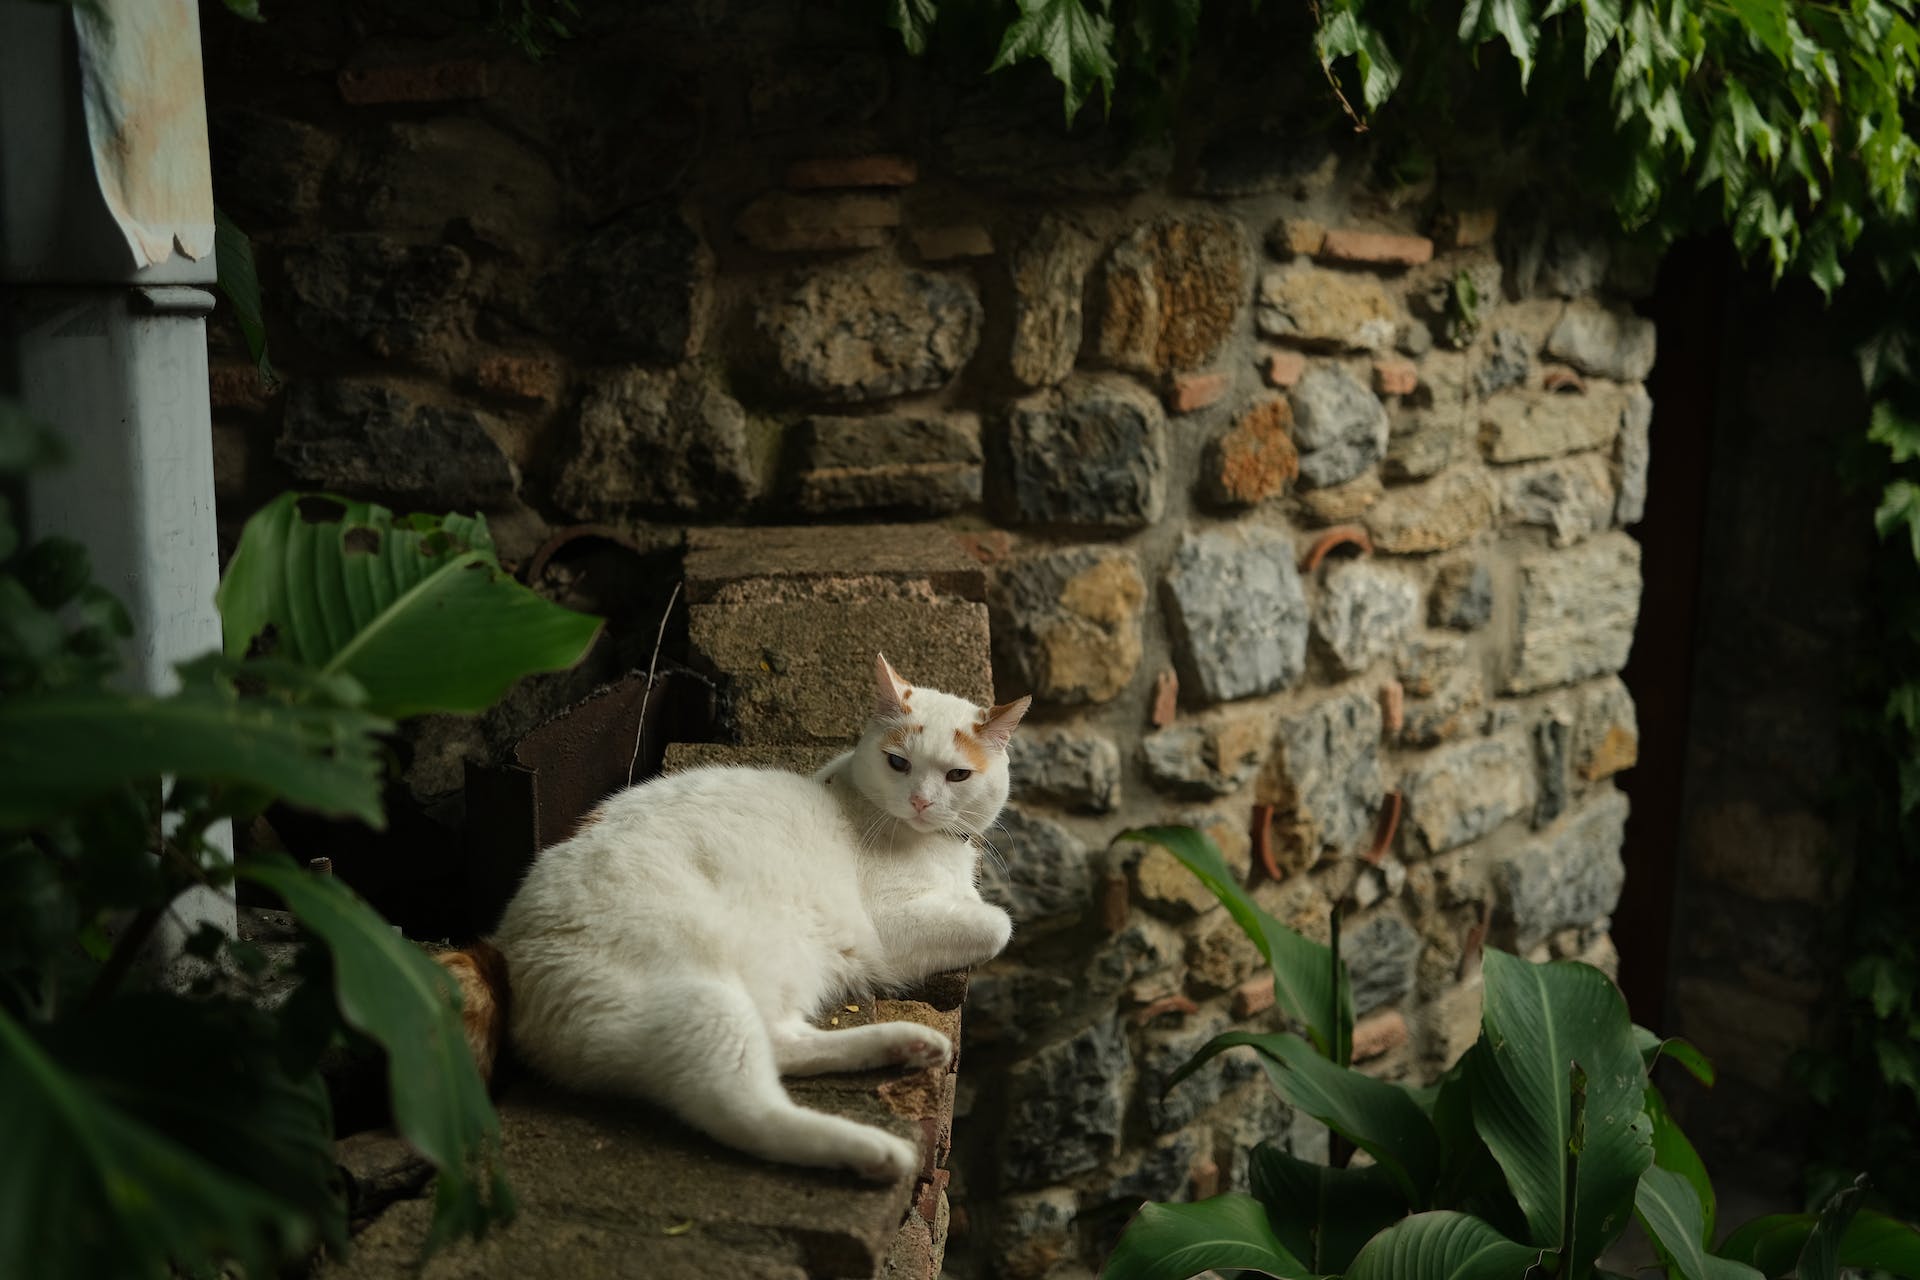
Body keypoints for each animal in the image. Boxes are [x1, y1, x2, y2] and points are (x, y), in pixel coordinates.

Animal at [474, 660, 1029, 1182]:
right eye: (898, 763)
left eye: (957, 776)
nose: (920, 801)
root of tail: (505, 946)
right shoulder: (887, 926)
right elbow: (997, 923)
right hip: (705, 1001)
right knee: (747, 1113)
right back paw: (876, 1150)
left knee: (781, 1045)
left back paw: (906, 1044)